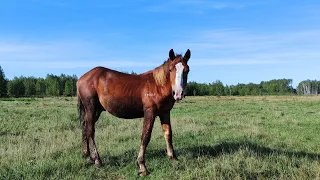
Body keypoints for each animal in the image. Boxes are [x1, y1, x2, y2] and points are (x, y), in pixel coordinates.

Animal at [77, 48, 190, 176]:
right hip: (90, 109)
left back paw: (88, 157)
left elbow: (168, 134)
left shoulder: (165, 113)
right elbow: (145, 136)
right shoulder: (150, 113)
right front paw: (142, 166)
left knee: (85, 129)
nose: (178, 93)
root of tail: (82, 78)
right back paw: (97, 161)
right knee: (90, 131)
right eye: (171, 70)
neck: (158, 85)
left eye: (187, 70)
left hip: (95, 111)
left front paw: (173, 158)